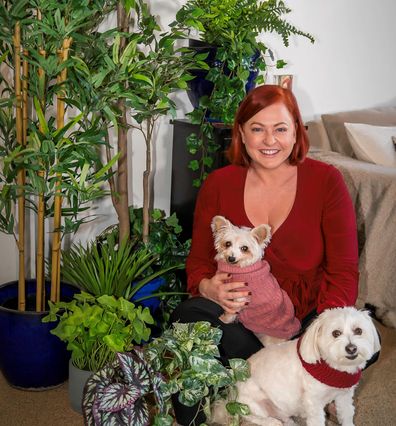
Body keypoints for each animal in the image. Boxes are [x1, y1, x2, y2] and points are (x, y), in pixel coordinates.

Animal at [212, 308, 382, 424]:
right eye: (336, 333)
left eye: (358, 331)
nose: (351, 348)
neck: (332, 368)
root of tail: (231, 392)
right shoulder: (314, 404)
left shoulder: (344, 397)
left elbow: (347, 415)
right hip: (253, 407)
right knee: (258, 419)